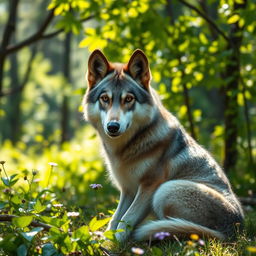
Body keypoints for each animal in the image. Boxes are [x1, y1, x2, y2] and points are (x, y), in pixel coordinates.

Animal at [82, 49, 244, 243]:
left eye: (128, 99)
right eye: (105, 98)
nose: (113, 126)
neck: (127, 147)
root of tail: (233, 231)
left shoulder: (149, 186)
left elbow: (127, 219)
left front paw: (114, 244)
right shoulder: (127, 189)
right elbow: (115, 219)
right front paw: (102, 240)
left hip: (165, 191)